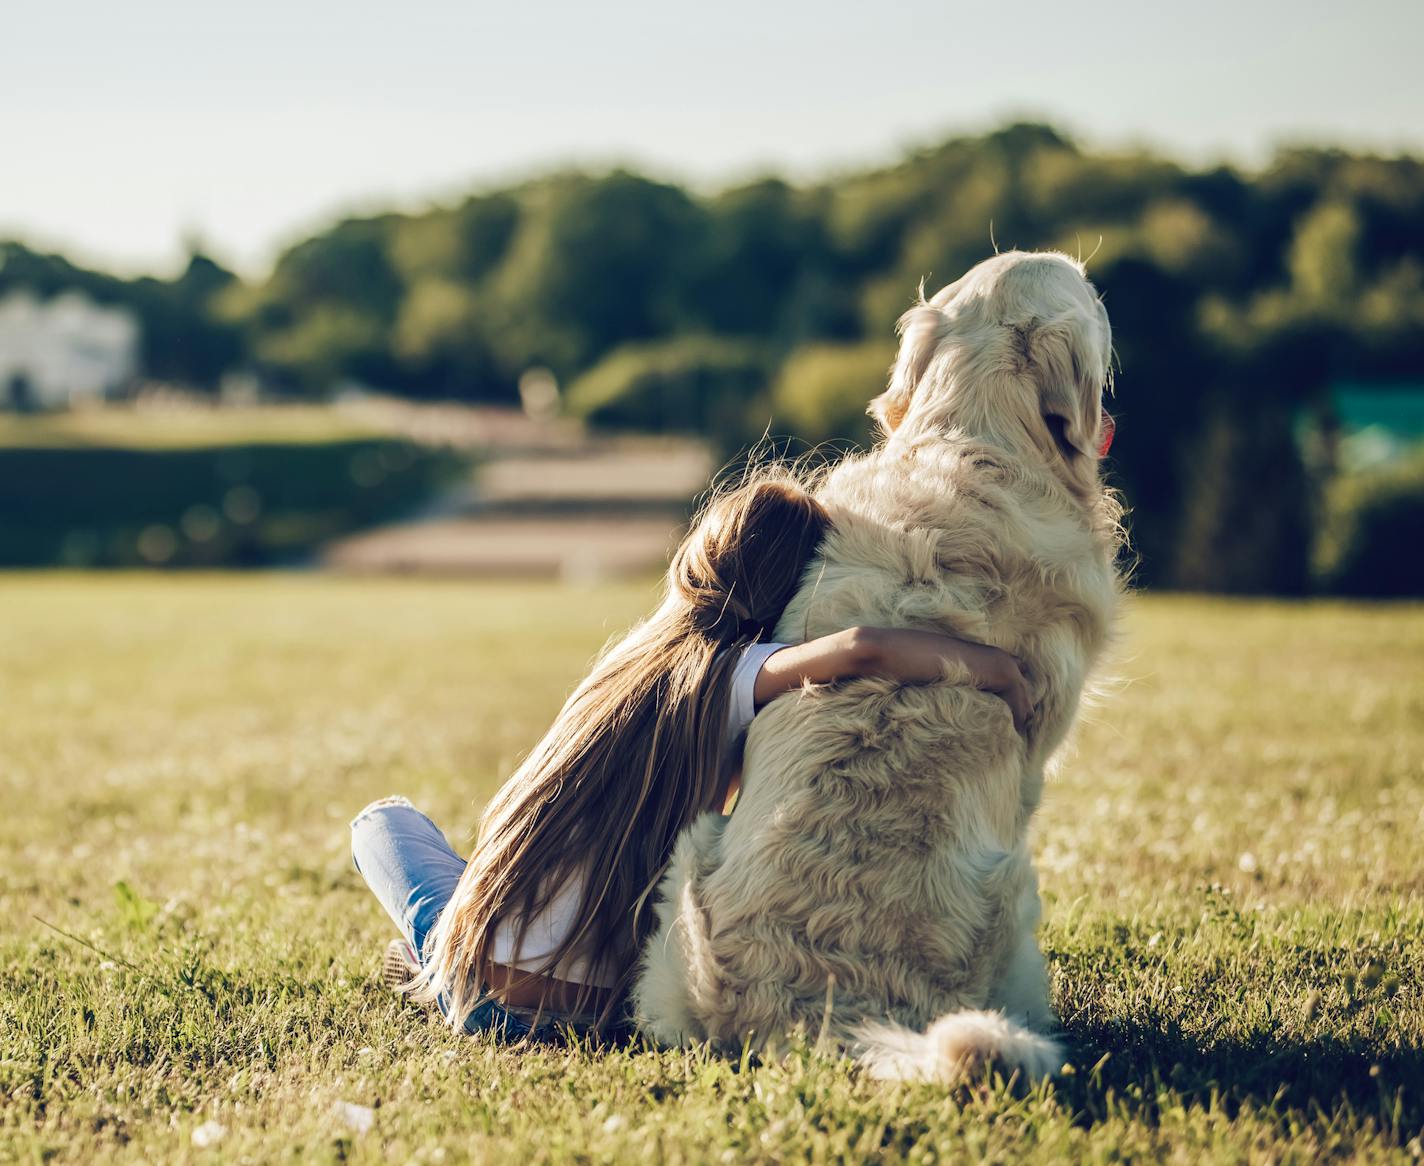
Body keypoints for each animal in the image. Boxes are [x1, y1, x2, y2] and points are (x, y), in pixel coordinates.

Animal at [635, 250, 1122, 1082]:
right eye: (1090, 295)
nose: (1102, 281)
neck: (976, 440)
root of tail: (820, 1007)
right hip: (1016, 892)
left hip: (687, 864)